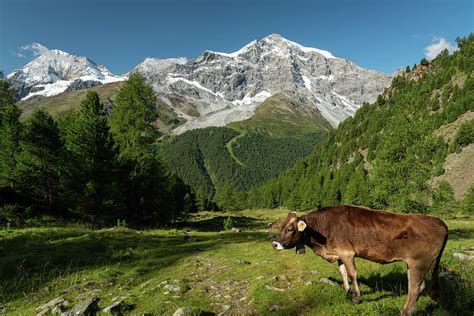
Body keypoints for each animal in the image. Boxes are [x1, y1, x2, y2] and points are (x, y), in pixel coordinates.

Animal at [272, 206, 446, 314]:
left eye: (290, 229)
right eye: (280, 227)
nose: (275, 244)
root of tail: (439, 221)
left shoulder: (347, 252)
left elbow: (352, 274)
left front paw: (356, 297)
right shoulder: (339, 253)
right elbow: (342, 272)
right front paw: (346, 291)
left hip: (419, 262)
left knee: (416, 287)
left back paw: (405, 311)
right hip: (413, 264)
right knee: (414, 285)